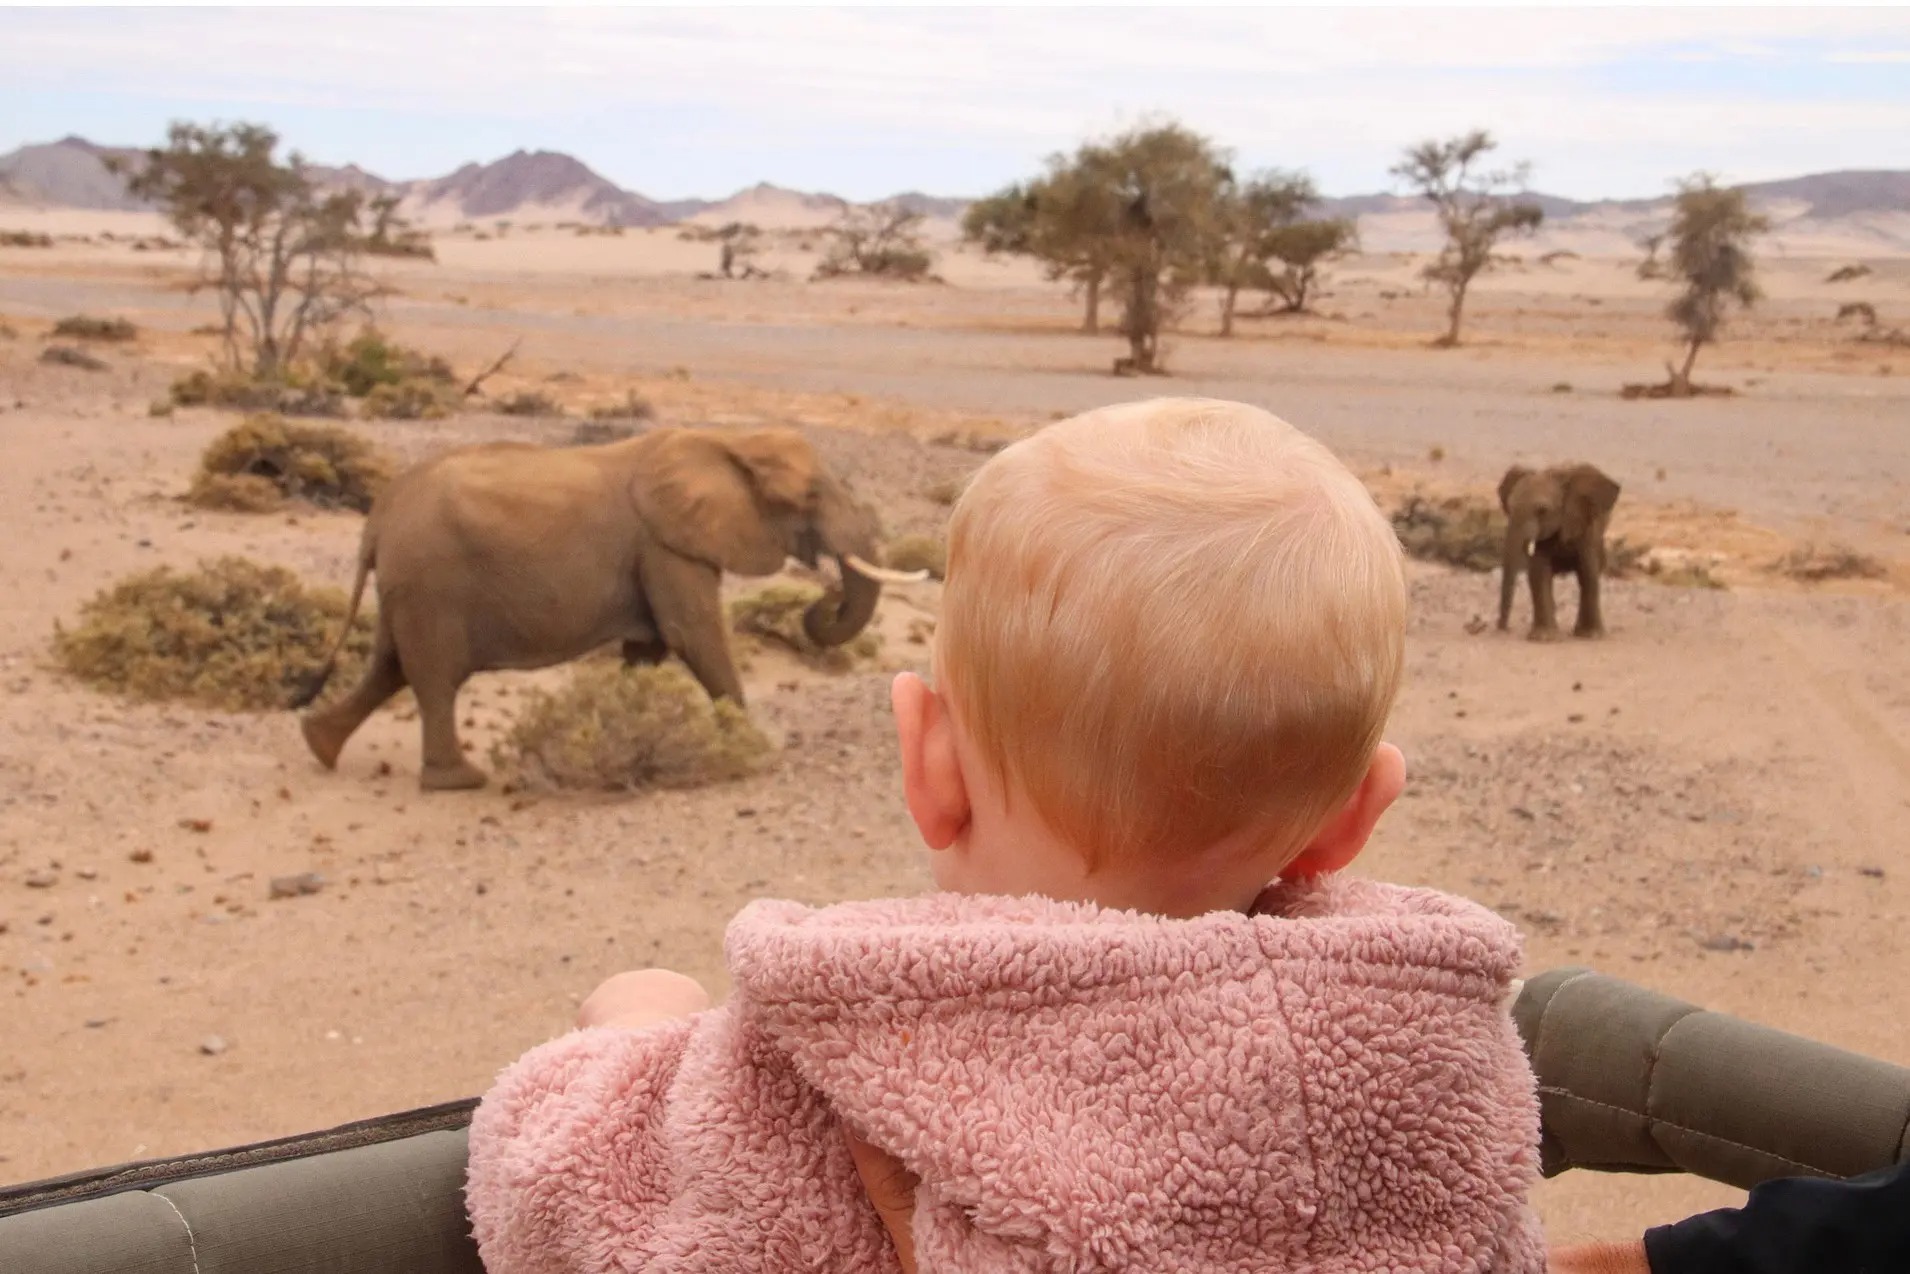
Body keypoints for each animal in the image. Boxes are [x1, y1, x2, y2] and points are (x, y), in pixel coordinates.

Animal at [294, 425, 924, 791]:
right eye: (810, 496)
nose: (823, 598)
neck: (725, 439)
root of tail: (379, 514)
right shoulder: (664, 543)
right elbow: (692, 632)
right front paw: (755, 749)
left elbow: (648, 650)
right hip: (431, 583)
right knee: (433, 678)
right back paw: (462, 780)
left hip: (407, 585)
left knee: (389, 666)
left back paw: (319, 746)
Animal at [1496, 462, 1622, 641]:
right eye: (1509, 507)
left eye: (1542, 510)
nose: (1503, 629)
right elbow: (1539, 573)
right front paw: (1543, 638)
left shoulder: (1586, 528)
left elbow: (1588, 573)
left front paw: (1591, 635)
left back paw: (1582, 632)